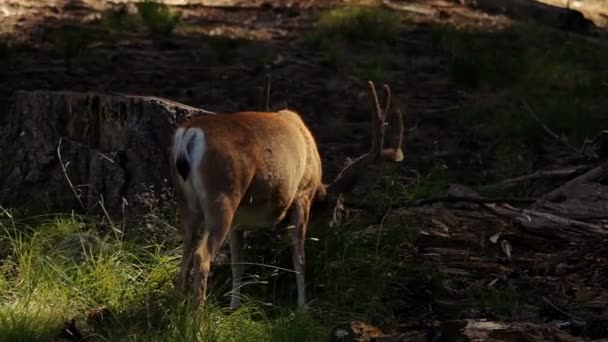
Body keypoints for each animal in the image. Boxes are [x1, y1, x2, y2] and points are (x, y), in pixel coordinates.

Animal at [169, 81, 404, 310]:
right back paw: (197, 317)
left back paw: (178, 306)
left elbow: (238, 263)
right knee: (201, 256)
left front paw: (234, 307)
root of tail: (189, 134)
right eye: (338, 208)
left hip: (187, 200)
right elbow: (299, 259)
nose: (334, 232)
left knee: (187, 247)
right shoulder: (302, 195)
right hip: (224, 195)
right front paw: (303, 308)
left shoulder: (238, 221)